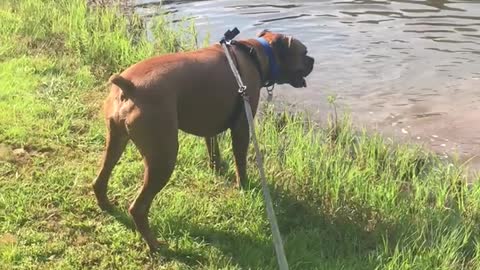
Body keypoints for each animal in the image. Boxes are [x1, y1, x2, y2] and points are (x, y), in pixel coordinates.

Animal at [92, 30, 316, 251]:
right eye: (304, 52)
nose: (313, 60)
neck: (255, 53)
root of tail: (129, 86)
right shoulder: (242, 127)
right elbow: (240, 161)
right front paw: (243, 186)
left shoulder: (210, 127)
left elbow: (213, 150)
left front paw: (216, 169)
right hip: (162, 158)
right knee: (138, 207)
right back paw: (155, 244)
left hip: (116, 142)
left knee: (100, 180)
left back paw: (107, 206)